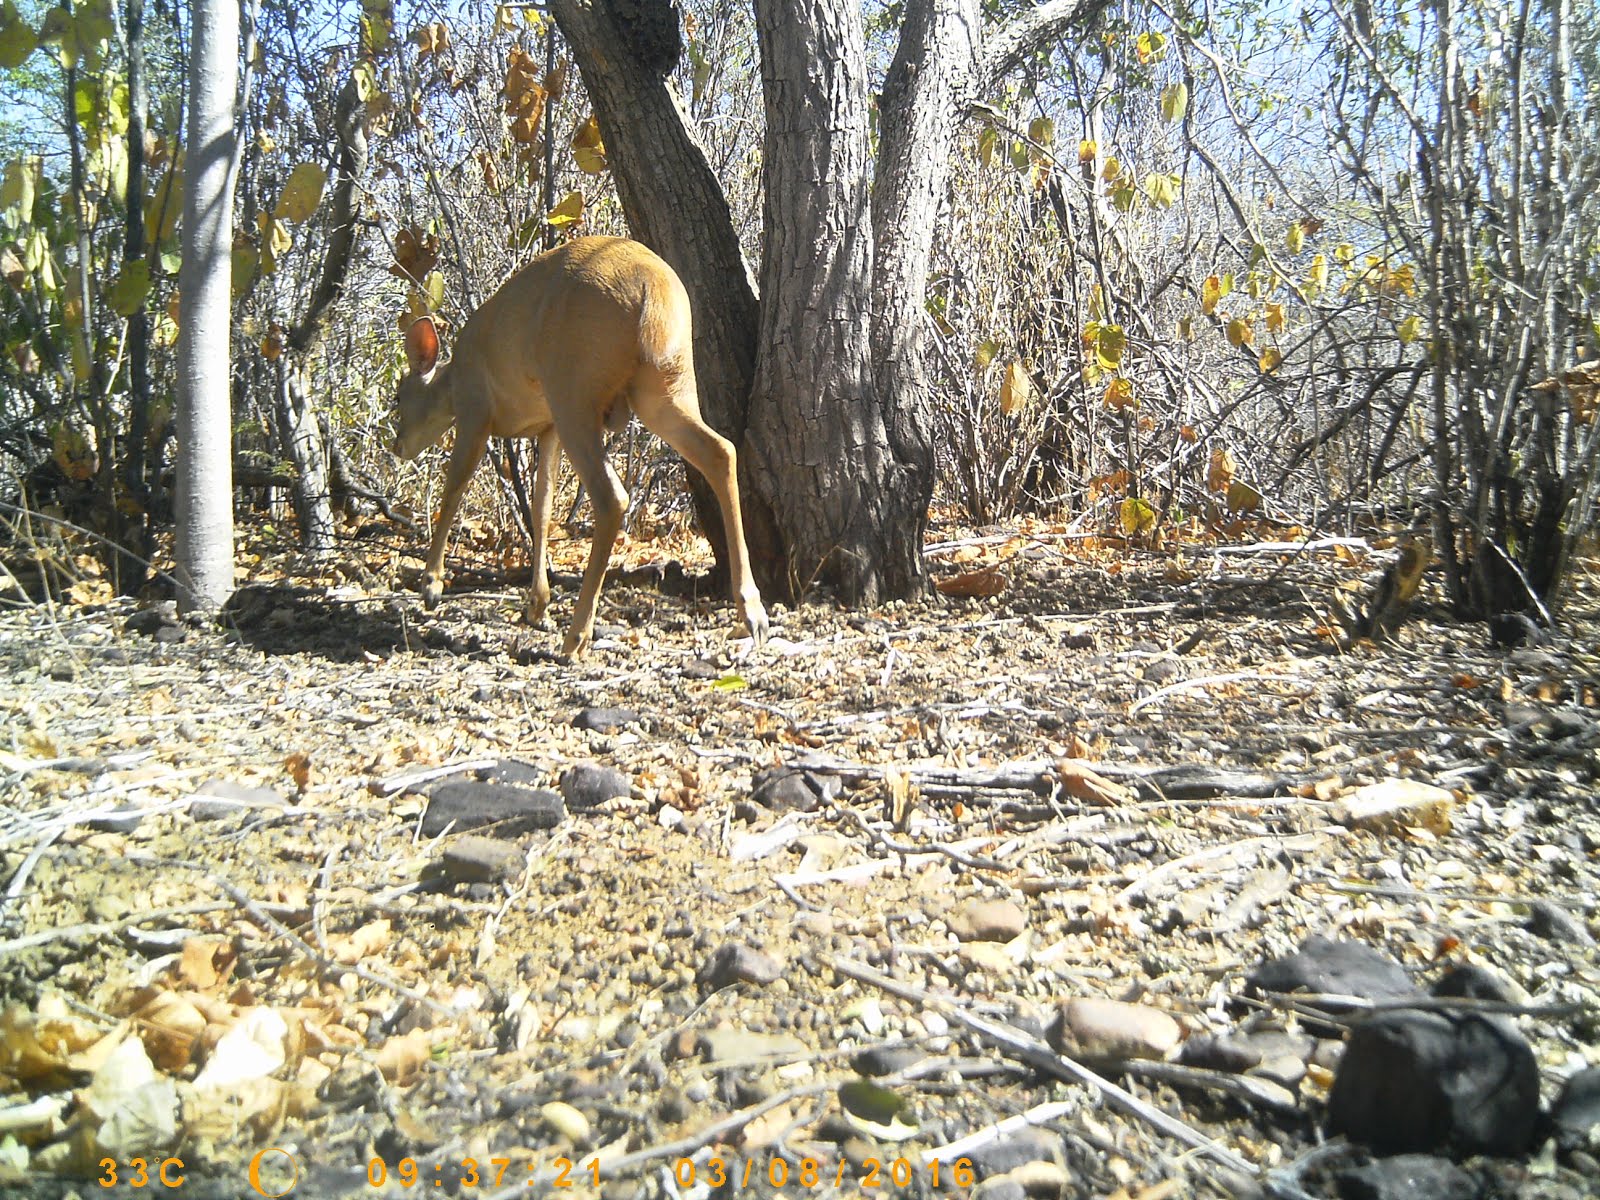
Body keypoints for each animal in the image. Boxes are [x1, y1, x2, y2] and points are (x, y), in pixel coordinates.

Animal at [392, 233, 768, 659]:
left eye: (398, 397)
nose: (397, 444)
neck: (453, 379)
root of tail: (652, 292)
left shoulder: (476, 410)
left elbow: (455, 485)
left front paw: (431, 585)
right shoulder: (548, 428)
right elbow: (541, 505)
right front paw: (537, 605)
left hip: (575, 388)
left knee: (612, 496)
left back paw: (576, 635)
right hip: (666, 384)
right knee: (720, 450)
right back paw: (753, 612)